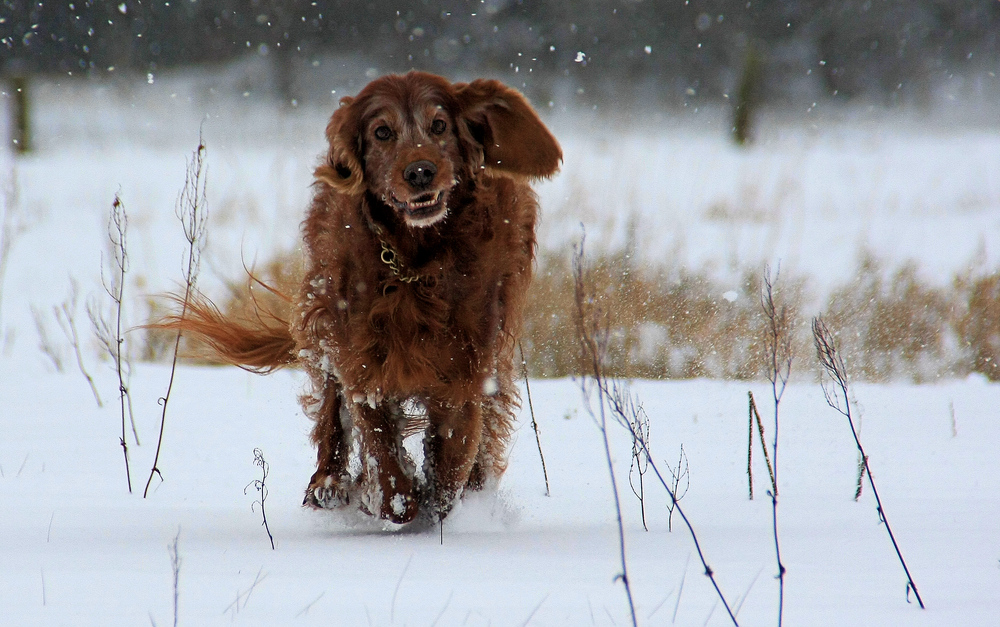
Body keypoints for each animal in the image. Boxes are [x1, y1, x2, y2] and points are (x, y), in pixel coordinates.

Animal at [173, 72, 564, 524]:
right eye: (382, 132)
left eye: (439, 125)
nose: (420, 172)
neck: (415, 261)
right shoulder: (363, 355)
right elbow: (383, 457)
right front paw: (383, 494)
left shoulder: (465, 369)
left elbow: (452, 467)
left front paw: (440, 496)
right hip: (323, 317)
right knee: (331, 406)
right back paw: (328, 483)